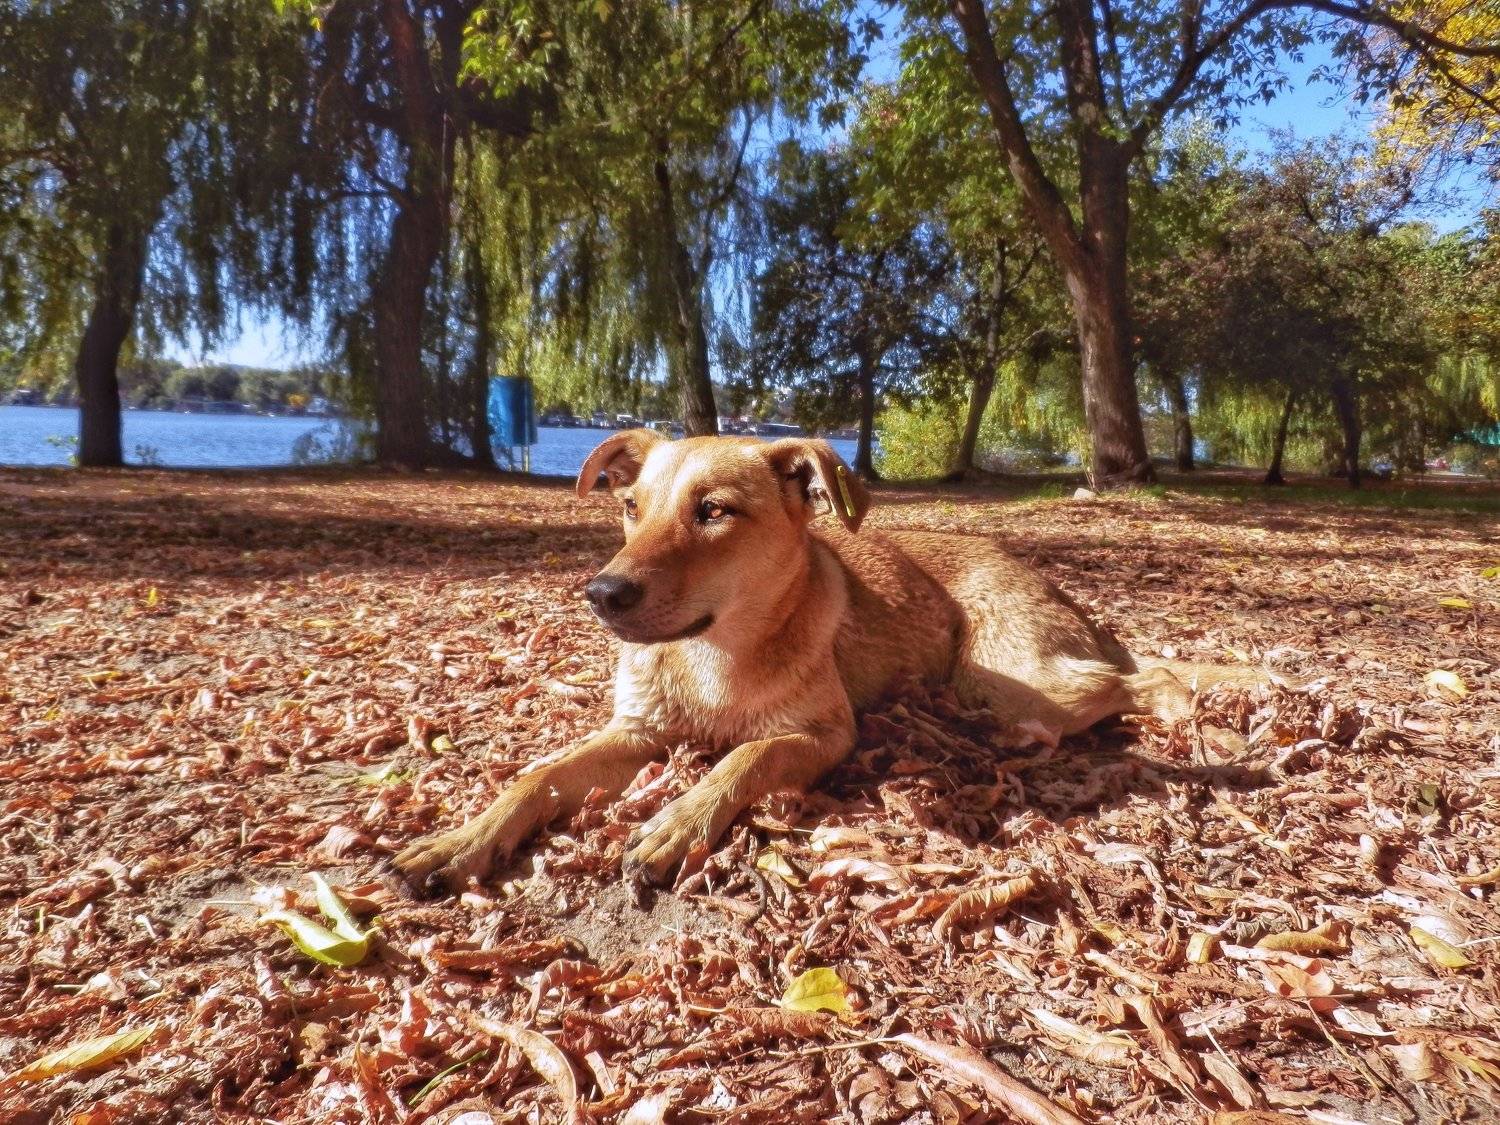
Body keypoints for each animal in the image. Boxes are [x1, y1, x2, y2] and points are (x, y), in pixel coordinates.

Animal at [394, 430, 1260, 892]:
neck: (715, 652)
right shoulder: (637, 731)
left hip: (1005, 677)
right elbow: (536, 776)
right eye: (631, 508)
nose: (601, 593)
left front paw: (677, 820)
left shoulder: (822, 734)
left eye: (714, 511)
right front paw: (460, 839)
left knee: (1144, 678)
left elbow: (740, 758)